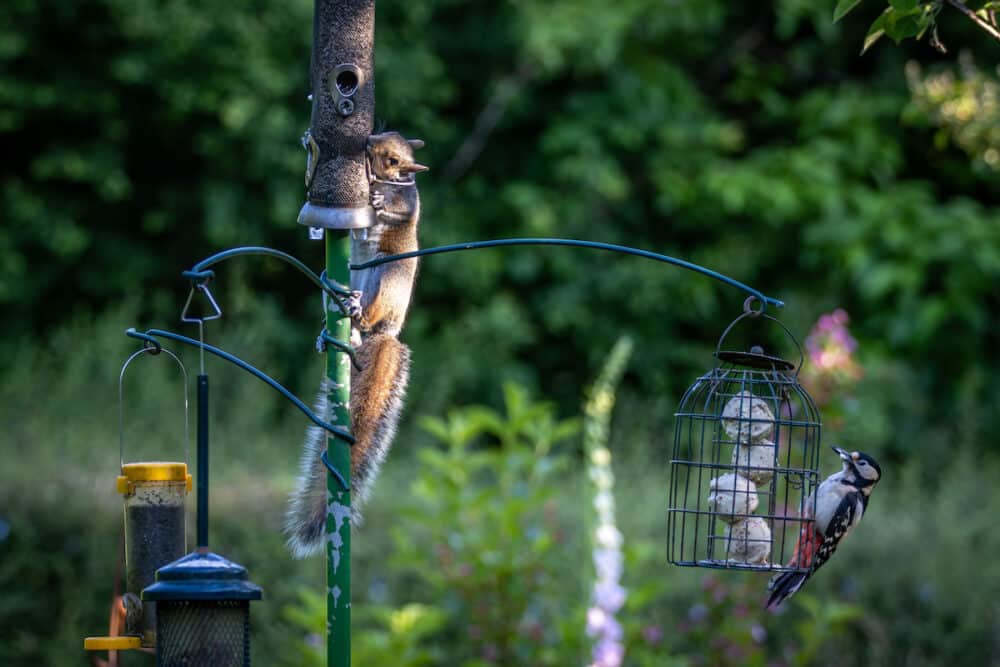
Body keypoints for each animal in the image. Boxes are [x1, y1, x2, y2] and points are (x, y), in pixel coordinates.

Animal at [290, 132, 430, 560]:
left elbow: (399, 212)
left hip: (385, 281)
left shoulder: (408, 204)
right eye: (384, 136)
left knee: (367, 316)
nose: (368, 142)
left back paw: (355, 314)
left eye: (393, 159)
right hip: (343, 286)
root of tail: (387, 333)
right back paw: (332, 333)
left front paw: (380, 201)